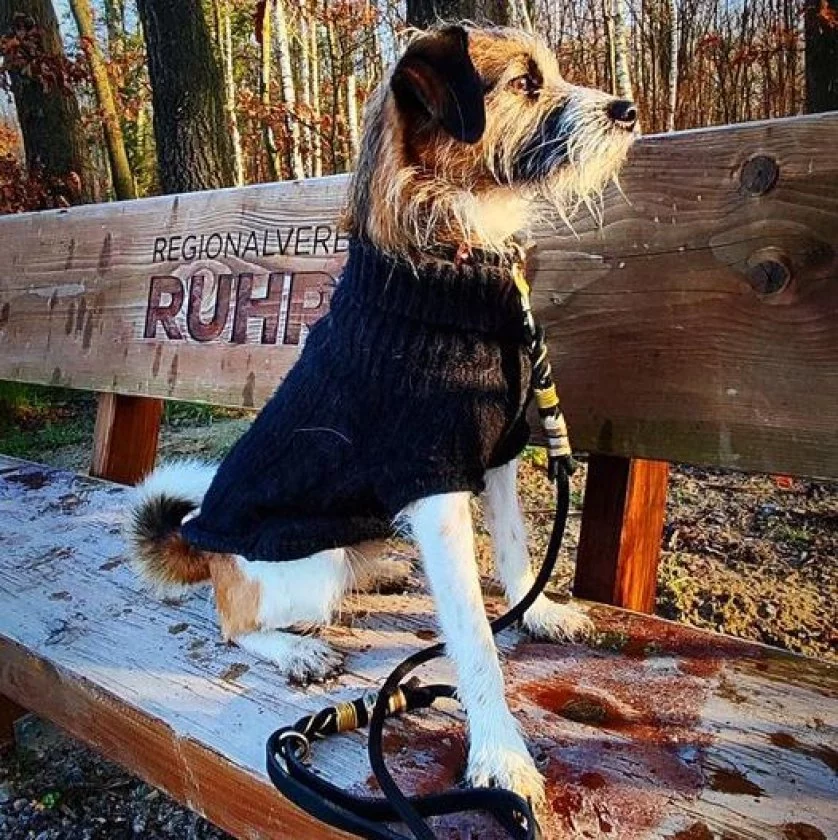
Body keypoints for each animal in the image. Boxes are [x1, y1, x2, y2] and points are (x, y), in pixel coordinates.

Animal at [128, 23, 636, 804]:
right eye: (526, 83)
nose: (629, 111)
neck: (455, 258)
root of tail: (202, 544)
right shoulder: (433, 486)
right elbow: (474, 638)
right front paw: (500, 753)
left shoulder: (494, 456)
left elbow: (517, 551)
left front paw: (540, 611)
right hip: (296, 573)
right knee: (233, 624)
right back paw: (294, 651)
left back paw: (379, 572)